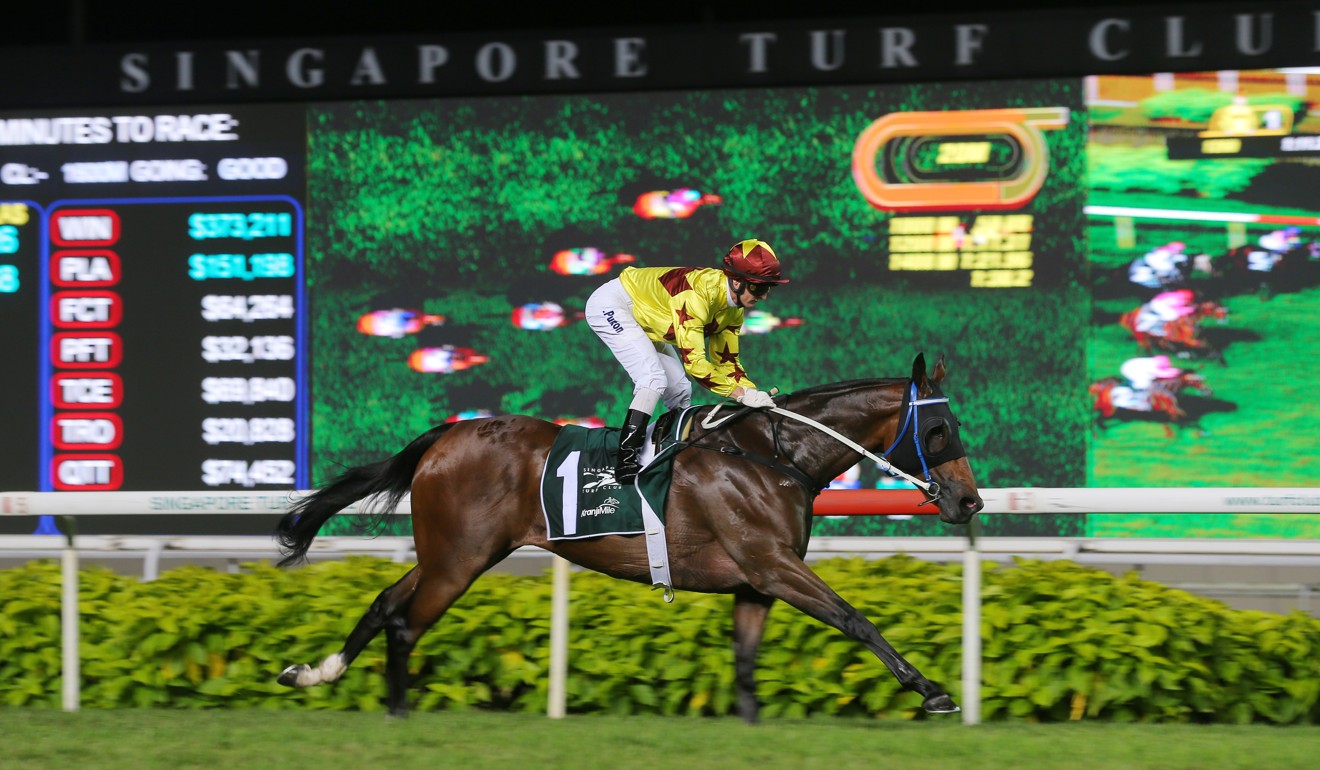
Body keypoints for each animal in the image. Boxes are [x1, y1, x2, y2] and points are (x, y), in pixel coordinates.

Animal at [273, 353, 987, 723]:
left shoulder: (756, 582)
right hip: (459, 558)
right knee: (404, 623)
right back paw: (396, 712)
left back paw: (312, 672)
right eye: (940, 432)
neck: (770, 455)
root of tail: (447, 434)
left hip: (454, 551)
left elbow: (746, 660)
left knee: (383, 604)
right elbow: (854, 618)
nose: (970, 501)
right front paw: (933, 691)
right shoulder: (772, 563)